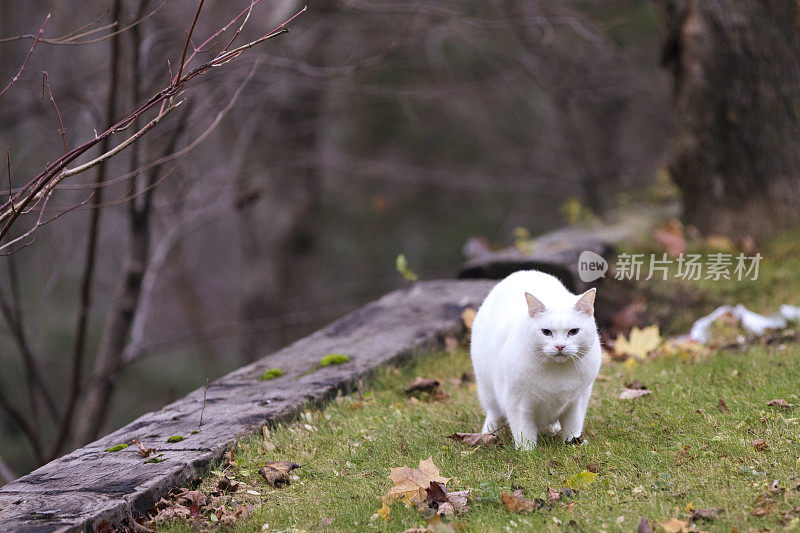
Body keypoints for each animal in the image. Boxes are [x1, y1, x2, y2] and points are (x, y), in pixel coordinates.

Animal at [468, 270, 600, 448]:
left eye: (573, 331)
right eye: (546, 332)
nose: (560, 346)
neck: (557, 373)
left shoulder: (577, 402)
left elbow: (573, 427)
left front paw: (573, 444)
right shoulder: (517, 404)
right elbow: (524, 432)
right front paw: (527, 451)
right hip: (487, 389)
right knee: (493, 413)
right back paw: (487, 434)